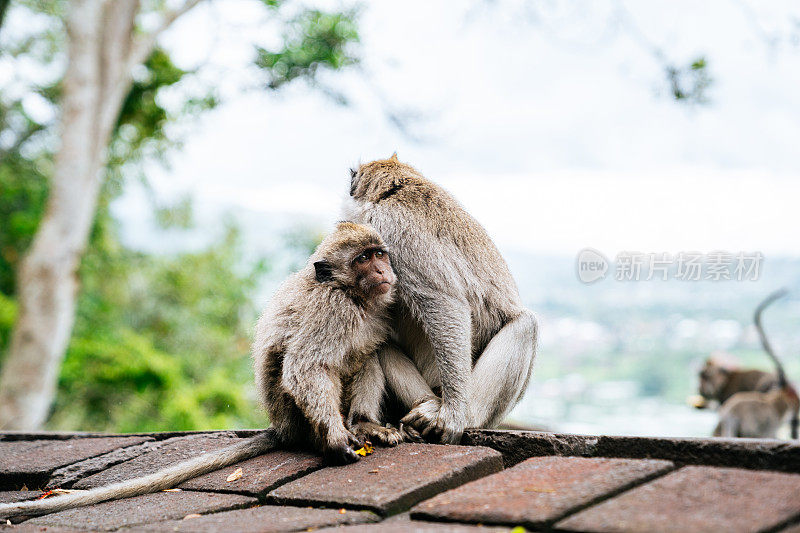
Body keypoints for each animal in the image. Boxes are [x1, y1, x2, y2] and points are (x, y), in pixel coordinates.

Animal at [0, 222, 400, 516]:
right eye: (364, 258)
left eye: (379, 253)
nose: (383, 268)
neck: (351, 295)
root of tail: (283, 427)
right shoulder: (330, 309)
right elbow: (307, 367)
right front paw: (334, 440)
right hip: (295, 417)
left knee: (368, 354)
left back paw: (364, 423)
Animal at [344, 155, 536, 444]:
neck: (397, 188)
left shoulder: (393, 227)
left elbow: (443, 302)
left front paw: (454, 414)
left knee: (526, 325)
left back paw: (465, 414)